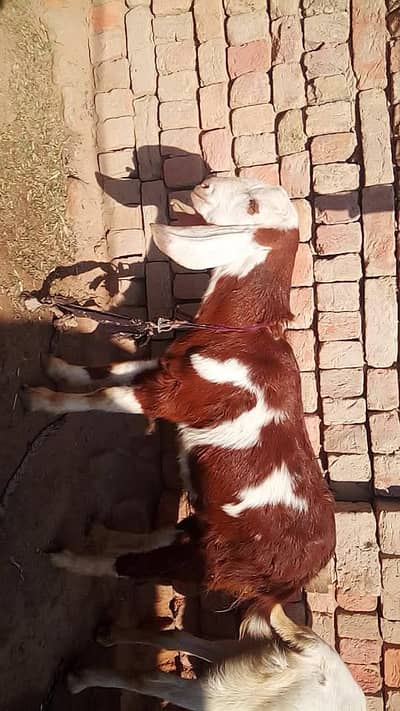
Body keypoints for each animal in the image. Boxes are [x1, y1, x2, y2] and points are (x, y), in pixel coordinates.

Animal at [22, 176, 336, 612]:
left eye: (253, 207)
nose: (204, 184)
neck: (238, 333)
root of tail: (292, 582)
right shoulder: (168, 367)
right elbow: (108, 370)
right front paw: (58, 367)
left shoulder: (174, 398)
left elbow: (103, 396)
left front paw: (41, 399)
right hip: (207, 519)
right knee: (165, 535)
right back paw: (105, 534)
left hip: (217, 559)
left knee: (139, 567)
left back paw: (69, 560)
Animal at [66, 603, 366, 710]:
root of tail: (314, 654)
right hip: (225, 698)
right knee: (149, 681)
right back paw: (80, 680)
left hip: (238, 653)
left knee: (177, 639)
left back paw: (108, 635)